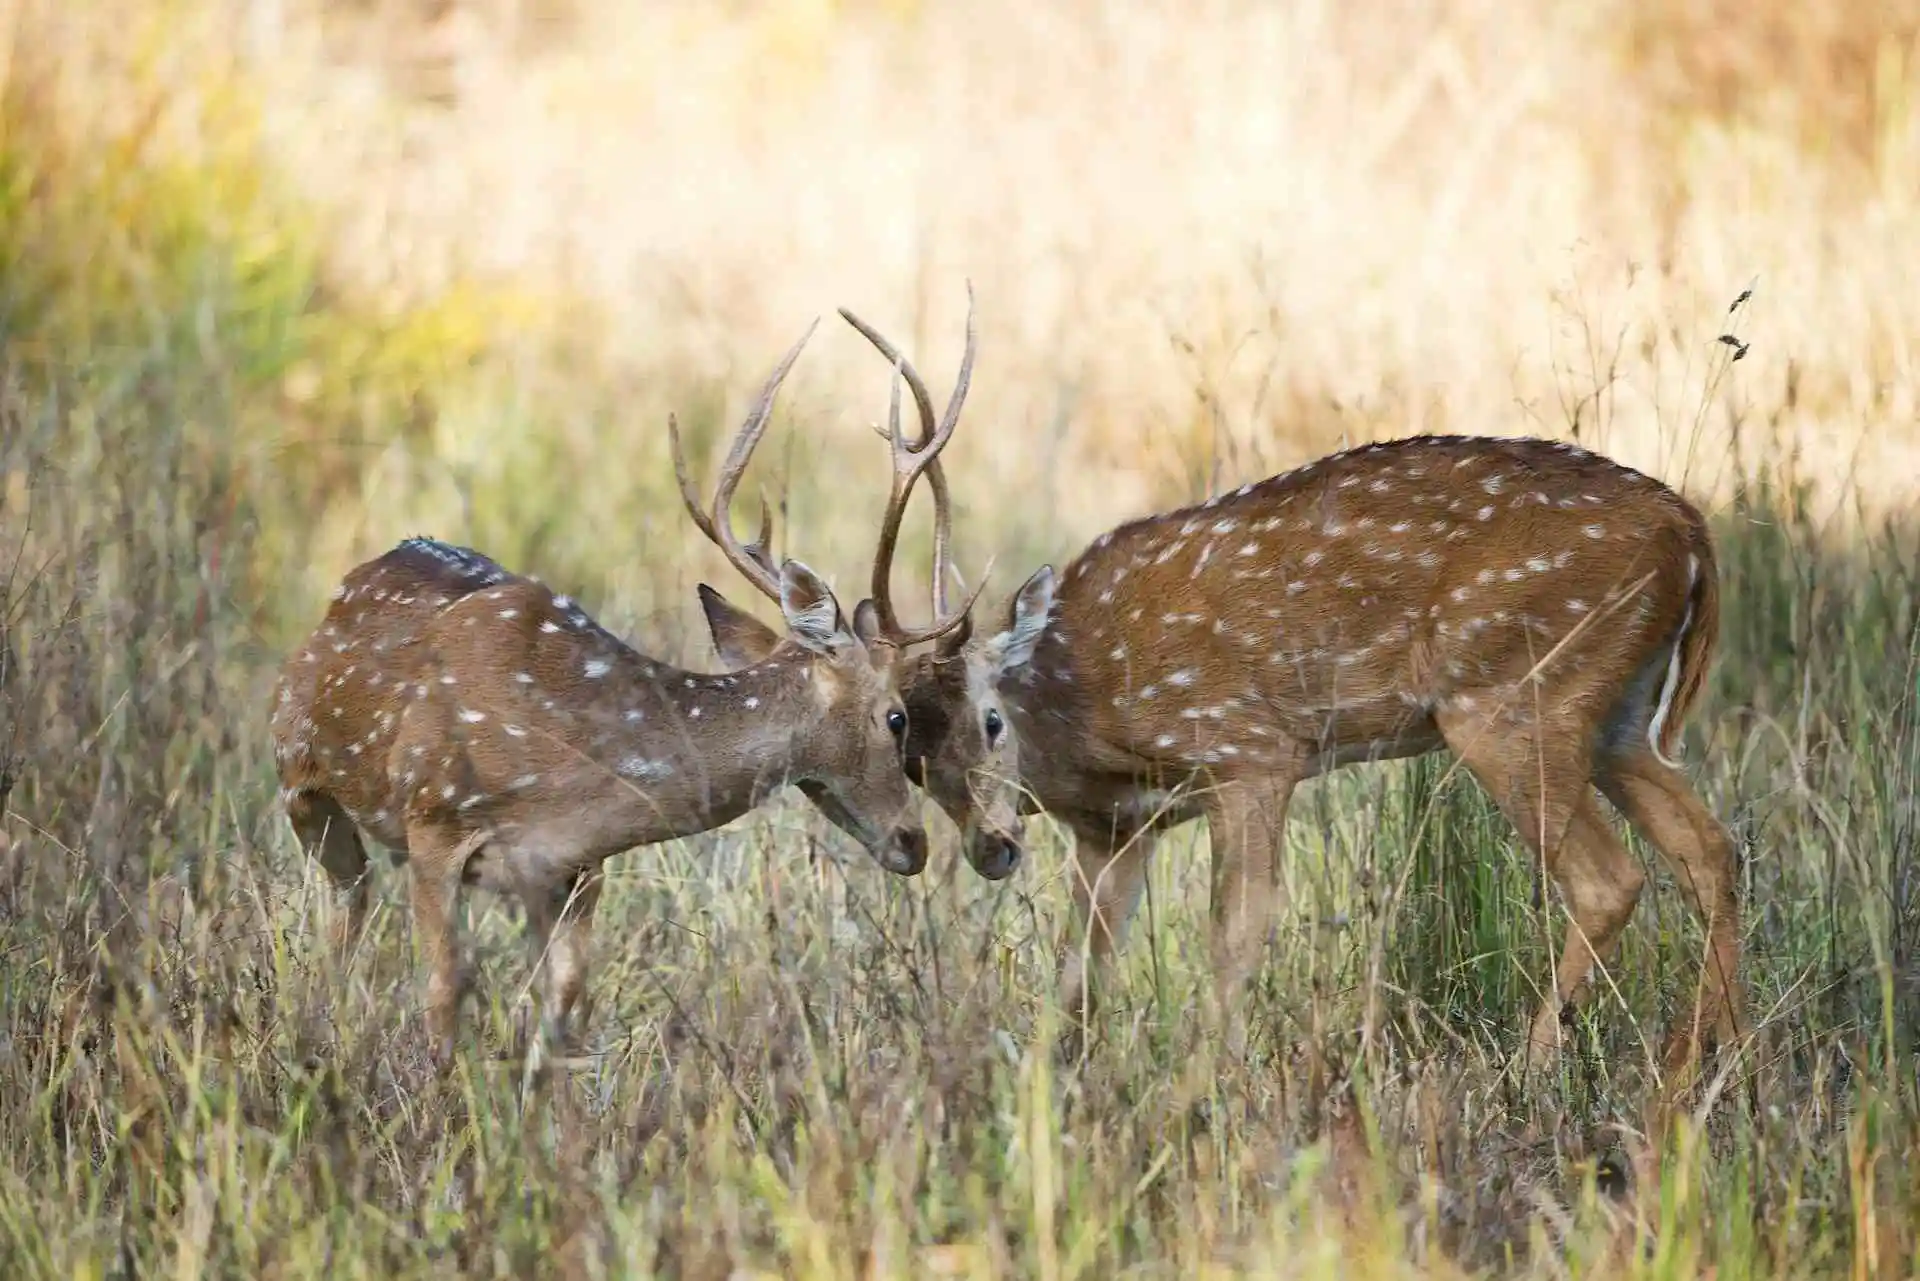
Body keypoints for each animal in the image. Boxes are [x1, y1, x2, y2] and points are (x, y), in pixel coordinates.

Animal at [274, 322, 956, 1060]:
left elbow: (564, 1007)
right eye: (896, 717)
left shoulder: (579, 867)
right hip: (301, 782)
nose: (915, 842)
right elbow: (442, 994)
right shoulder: (433, 822)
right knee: (345, 916)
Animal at [702, 297, 1743, 1083]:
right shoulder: (1115, 830)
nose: (993, 848)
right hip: (1614, 711)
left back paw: (1533, 1068)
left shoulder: (1249, 750)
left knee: (1609, 877)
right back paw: (1705, 1060)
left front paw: (1209, 1085)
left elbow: (1234, 935)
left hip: (1508, 694)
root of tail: (1690, 530)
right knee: (1711, 848)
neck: (1088, 720)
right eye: (910, 751)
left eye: (991, 720)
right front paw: (1056, 1089)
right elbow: (1082, 971)